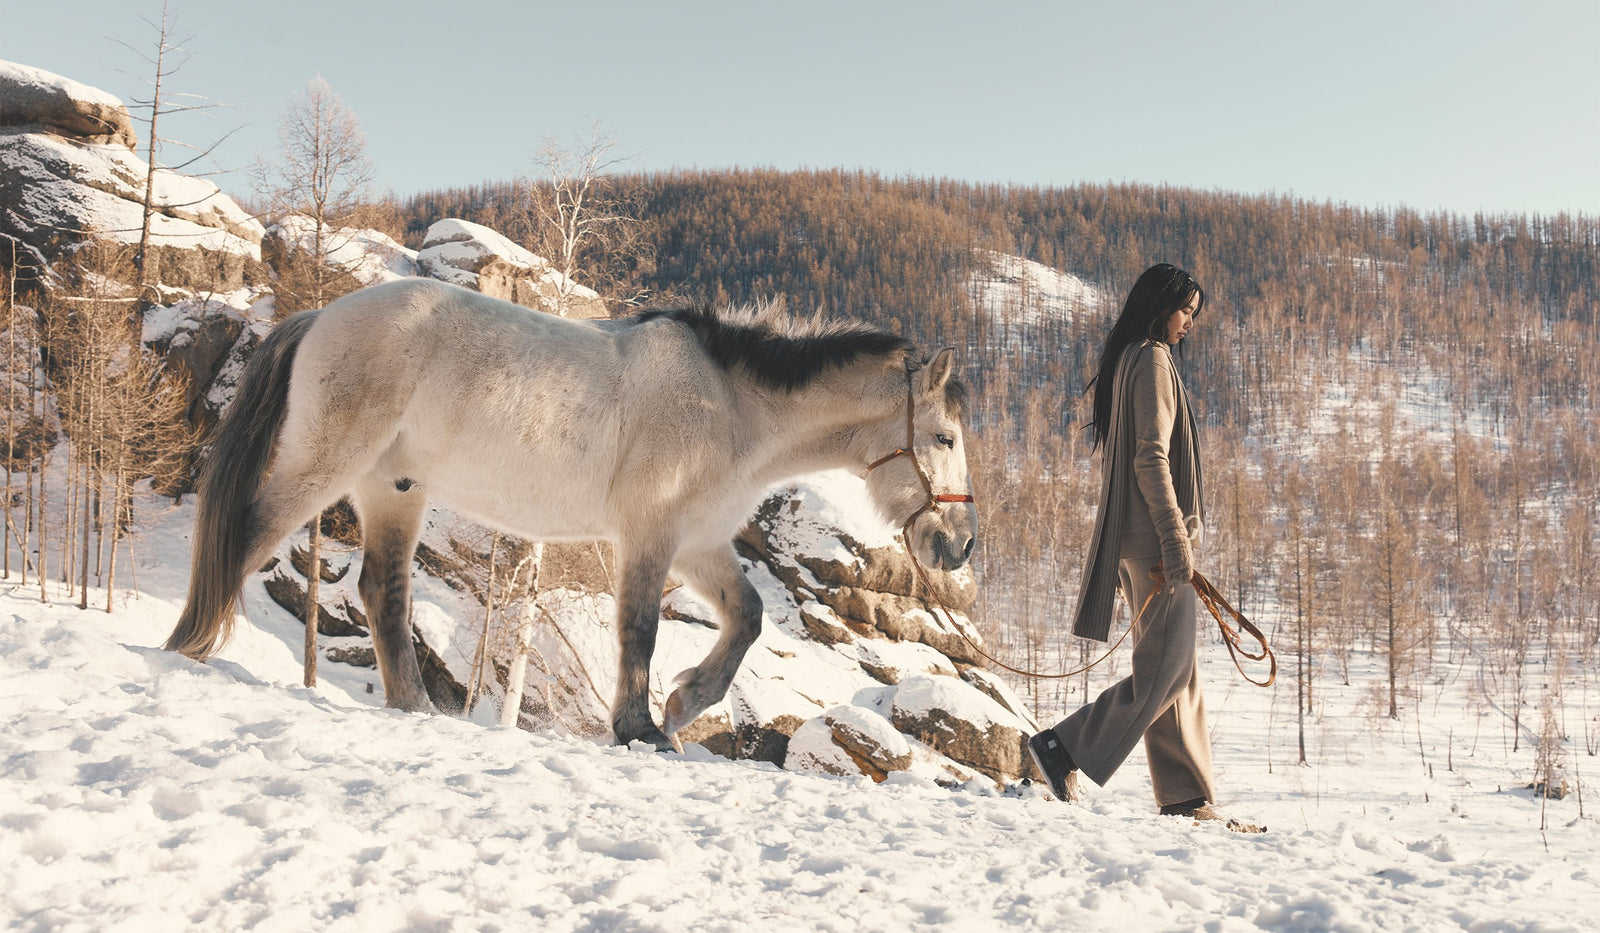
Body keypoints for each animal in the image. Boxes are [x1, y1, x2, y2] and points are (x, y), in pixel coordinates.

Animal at [164, 277, 978, 750]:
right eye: (945, 437)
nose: (960, 544)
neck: (730, 404)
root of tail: (322, 315)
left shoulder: (699, 543)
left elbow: (745, 618)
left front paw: (684, 703)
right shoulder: (651, 535)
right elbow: (639, 631)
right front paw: (641, 728)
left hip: (392, 489)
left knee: (381, 594)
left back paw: (415, 708)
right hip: (325, 464)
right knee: (247, 533)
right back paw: (185, 648)